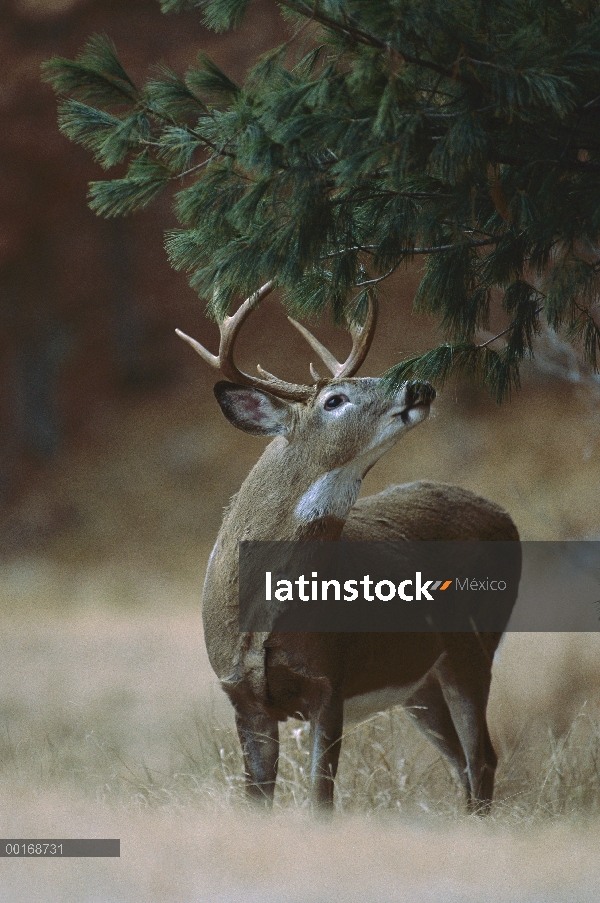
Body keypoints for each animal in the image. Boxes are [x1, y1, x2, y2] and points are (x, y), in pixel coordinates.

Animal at [177, 280, 520, 812]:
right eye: (335, 400)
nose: (419, 385)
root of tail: (505, 516)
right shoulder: (243, 697)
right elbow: (257, 803)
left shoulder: (329, 681)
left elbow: (321, 800)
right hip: (420, 681)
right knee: (463, 761)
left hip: (472, 643)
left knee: (482, 757)